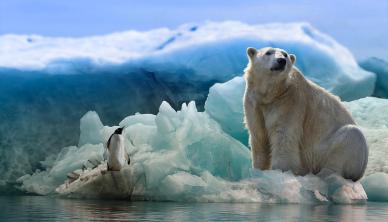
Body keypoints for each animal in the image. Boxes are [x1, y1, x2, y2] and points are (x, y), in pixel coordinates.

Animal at [244, 47, 368, 181]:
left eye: (285, 54)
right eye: (268, 52)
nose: (281, 61)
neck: (272, 94)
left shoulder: (289, 102)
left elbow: (283, 136)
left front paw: (280, 172)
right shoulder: (254, 103)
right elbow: (259, 136)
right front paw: (258, 170)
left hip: (326, 150)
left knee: (350, 137)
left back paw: (325, 175)